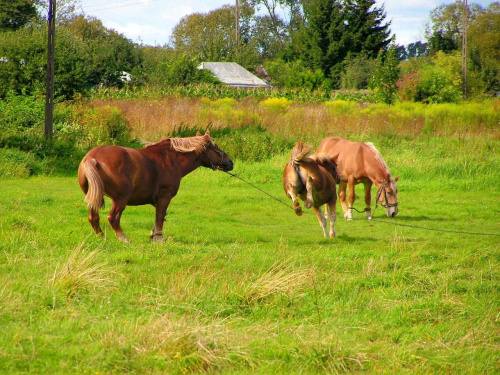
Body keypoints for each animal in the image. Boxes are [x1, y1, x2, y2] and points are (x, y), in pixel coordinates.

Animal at [78, 131, 234, 244]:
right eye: (215, 147)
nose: (230, 162)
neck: (170, 159)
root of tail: (92, 158)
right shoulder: (164, 197)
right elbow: (160, 217)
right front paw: (158, 238)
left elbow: (158, 218)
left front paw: (153, 236)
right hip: (120, 200)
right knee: (113, 218)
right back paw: (123, 238)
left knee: (93, 218)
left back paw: (101, 238)